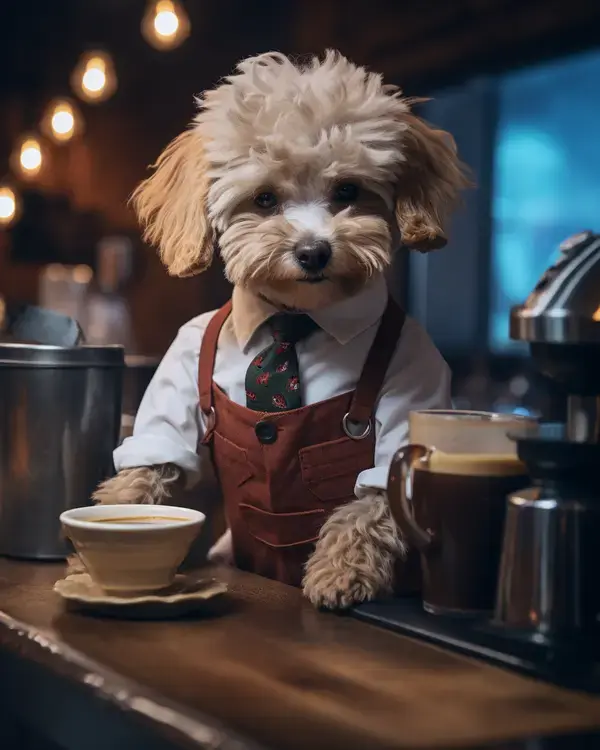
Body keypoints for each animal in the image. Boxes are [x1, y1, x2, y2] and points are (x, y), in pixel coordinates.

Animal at [86, 50, 466, 608]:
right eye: (264, 199)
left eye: (348, 191)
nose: (313, 252)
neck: (294, 318)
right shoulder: (182, 357)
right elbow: (154, 459)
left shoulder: (415, 369)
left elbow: (375, 498)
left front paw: (340, 572)